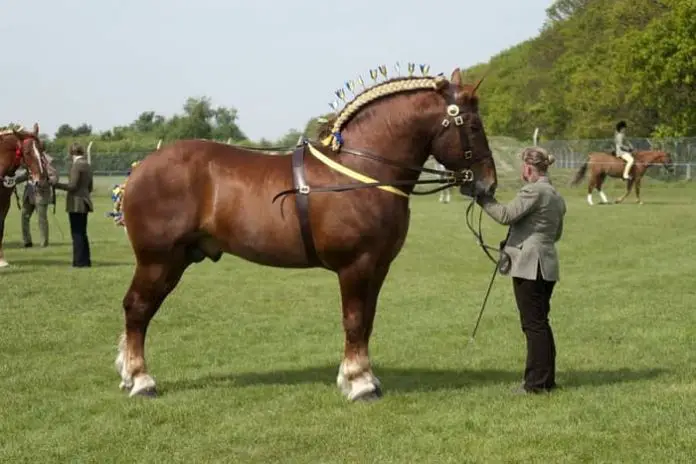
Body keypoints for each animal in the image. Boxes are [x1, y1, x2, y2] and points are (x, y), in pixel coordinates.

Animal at [115, 67, 499, 401]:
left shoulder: (377, 268)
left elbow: (367, 321)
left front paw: (362, 376)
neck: (360, 171)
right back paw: (141, 379)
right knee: (137, 308)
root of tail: (140, 169)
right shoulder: (356, 266)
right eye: (474, 125)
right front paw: (359, 383)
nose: (488, 184)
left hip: (175, 261)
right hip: (158, 260)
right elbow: (354, 320)